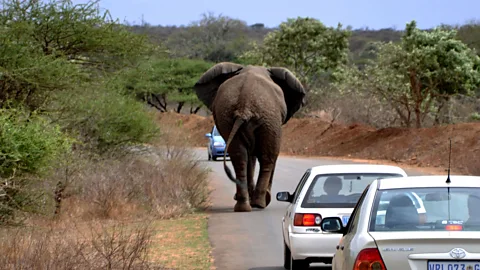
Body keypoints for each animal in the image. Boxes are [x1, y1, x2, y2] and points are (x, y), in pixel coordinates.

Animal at [193, 62, 306, 212]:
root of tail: (244, 106)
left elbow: (249, 157)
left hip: (228, 118)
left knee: (239, 156)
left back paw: (243, 206)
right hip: (269, 118)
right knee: (268, 157)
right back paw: (259, 203)